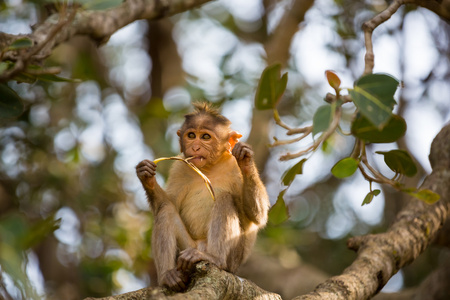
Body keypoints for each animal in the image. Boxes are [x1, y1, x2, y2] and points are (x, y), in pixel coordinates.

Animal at [135, 103, 268, 290]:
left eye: (205, 137)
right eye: (191, 135)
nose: (195, 147)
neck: (210, 167)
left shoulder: (234, 169)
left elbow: (258, 217)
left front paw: (246, 159)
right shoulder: (180, 168)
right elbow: (167, 204)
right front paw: (146, 176)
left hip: (232, 259)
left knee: (225, 199)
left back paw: (215, 259)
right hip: (186, 249)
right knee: (166, 211)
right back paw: (168, 276)